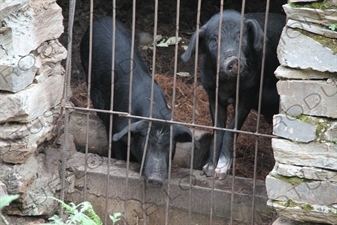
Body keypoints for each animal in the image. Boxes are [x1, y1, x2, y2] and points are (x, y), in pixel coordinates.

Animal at [180, 10, 284, 179]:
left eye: (240, 36)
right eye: (214, 39)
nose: (233, 59)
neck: (228, 85)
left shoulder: (249, 94)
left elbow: (231, 129)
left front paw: (219, 173)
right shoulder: (212, 96)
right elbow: (218, 129)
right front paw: (208, 170)